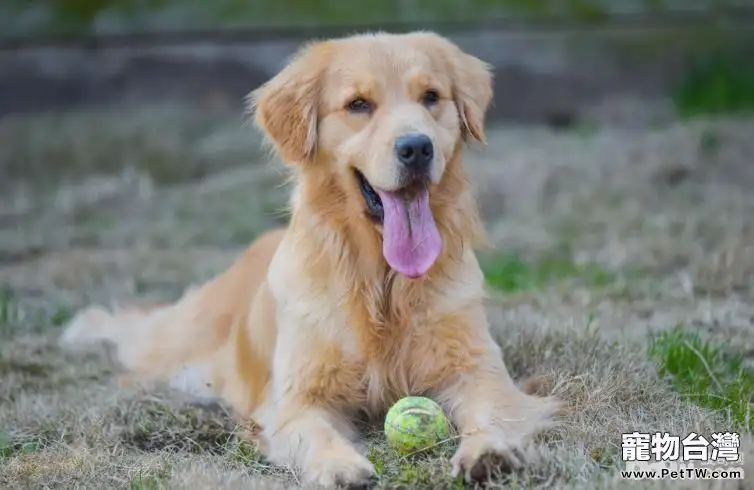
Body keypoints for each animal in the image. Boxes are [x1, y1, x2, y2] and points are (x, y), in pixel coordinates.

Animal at [61, 31, 560, 490]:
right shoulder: (299, 397)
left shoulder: (477, 371)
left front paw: (490, 451)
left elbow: (494, 411)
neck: (381, 281)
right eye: (358, 104)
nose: (417, 147)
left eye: (431, 97)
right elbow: (315, 432)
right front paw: (339, 467)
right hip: (176, 341)